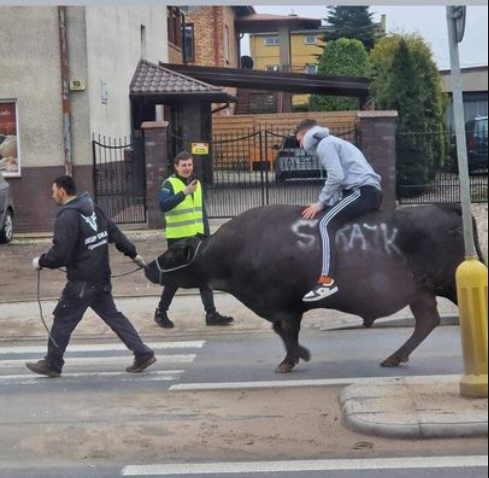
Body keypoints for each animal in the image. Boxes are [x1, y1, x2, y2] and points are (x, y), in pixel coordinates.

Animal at [144, 203, 480, 374]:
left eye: (172, 253)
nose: (148, 267)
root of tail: (447, 208)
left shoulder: (286, 305)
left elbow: (286, 330)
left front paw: (290, 359)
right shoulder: (283, 306)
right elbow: (281, 331)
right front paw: (299, 354)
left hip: (447, 283)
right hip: (420, 293)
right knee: (427, 321)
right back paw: (394, 357)